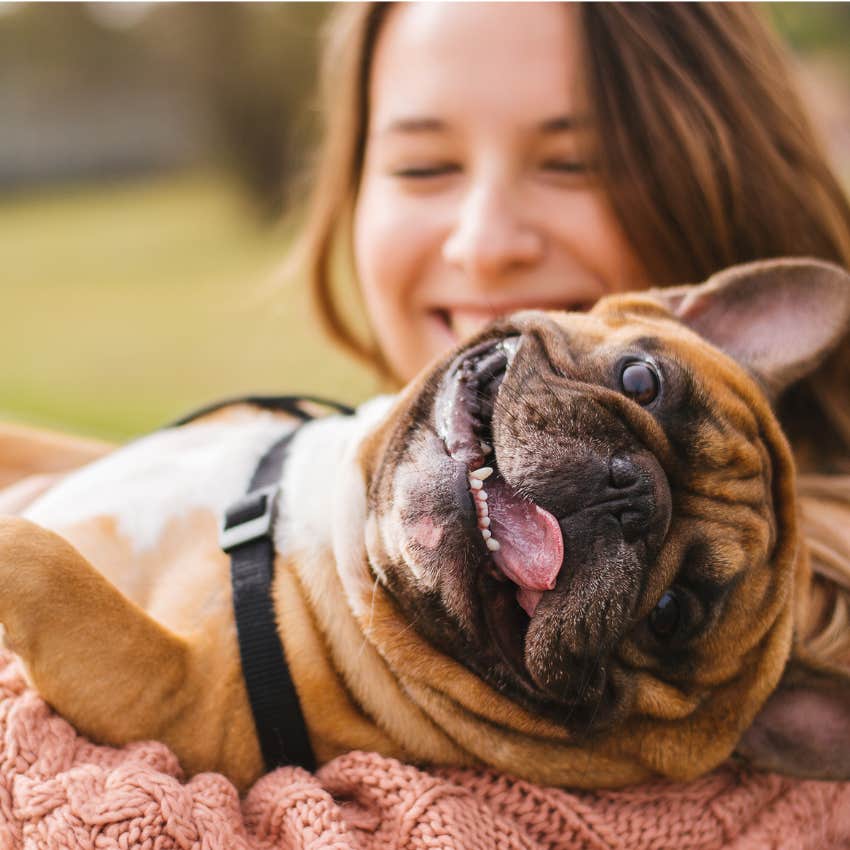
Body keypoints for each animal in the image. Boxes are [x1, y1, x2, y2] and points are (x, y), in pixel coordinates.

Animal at [1, 258, 848, 788]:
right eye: (641, 379)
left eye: (672, 615)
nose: (629, 493)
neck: (335, 530)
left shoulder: (178, 696)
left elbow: (48, 564)